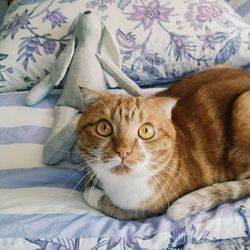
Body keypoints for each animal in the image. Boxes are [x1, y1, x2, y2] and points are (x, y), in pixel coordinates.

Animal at [76, 65, 250, 220]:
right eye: (104, 128)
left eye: (146, 131)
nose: (123, 151)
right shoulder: (90, 170)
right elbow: (88, 185)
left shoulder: (150, 209)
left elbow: (98, 199)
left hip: (243, 104)